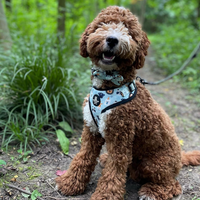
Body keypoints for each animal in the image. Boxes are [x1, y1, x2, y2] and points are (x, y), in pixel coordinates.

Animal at [55, 6, 200, 200]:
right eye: (103, 23)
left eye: (129, 32)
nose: (112, 39)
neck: (108, 87)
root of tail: (180, 158)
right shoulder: (91, 130)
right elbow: (83, 156)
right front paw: (70, 182)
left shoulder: (120, 136)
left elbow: (114, 171)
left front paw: (105, 195)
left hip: (154, 164)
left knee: (172, 185)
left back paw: (152, 191)